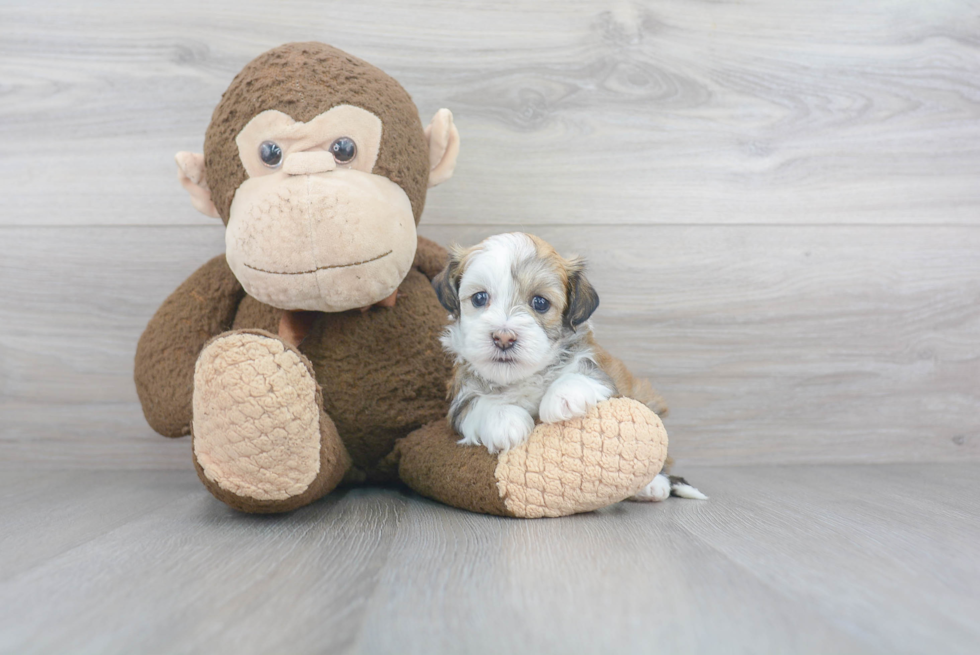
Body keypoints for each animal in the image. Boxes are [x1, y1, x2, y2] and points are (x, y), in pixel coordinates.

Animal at [430, 232, 704, 502]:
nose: (503, 337)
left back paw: (654, 485)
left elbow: (580, 375)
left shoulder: (600, 374)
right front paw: (504, 421)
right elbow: (477, 405)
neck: (524, 376)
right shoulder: (461, 395)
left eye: (540, 303)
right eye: (479, 298)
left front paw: (563, 397)